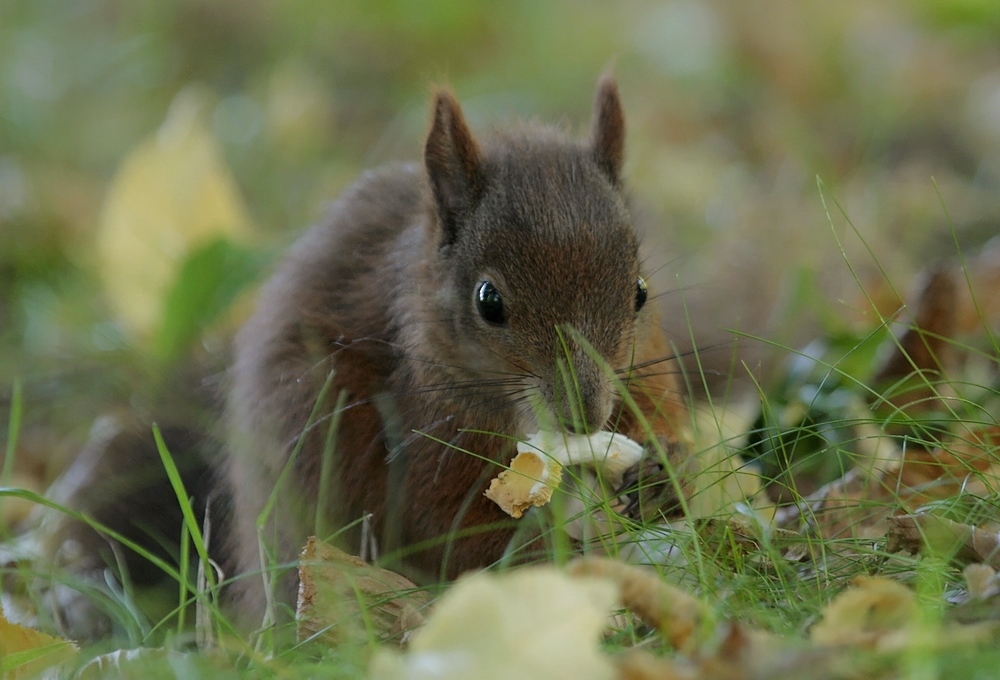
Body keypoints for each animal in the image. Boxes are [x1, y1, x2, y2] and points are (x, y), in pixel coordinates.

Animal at [33, 75, 688, 636]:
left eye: (640, 292)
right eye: (489, 301)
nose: (586, 413)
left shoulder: (644, 372)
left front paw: (663, 474)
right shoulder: (424, 430)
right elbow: (446, 528)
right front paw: (540, 552)